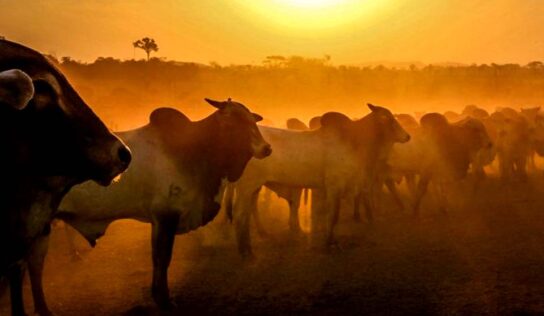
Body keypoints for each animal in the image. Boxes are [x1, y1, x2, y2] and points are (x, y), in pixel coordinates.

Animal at [27, 99, 270, 312]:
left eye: (252, 120)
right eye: (233, 121)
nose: (266, 148)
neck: (194, 150)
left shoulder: (159, 219)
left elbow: (157, 257)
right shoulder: (166, 216)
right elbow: (162, 258)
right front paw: (164, 300)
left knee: (32, 266)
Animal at [224, 103, 408, 256]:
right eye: (388, 118)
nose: (407, 136)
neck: (355, 141)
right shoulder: (334, 186)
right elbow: (333, 215)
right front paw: (329, 243)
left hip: (253, 188)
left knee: (247, 213)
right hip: (247, 186)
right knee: (240, 214)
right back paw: (245, 251)